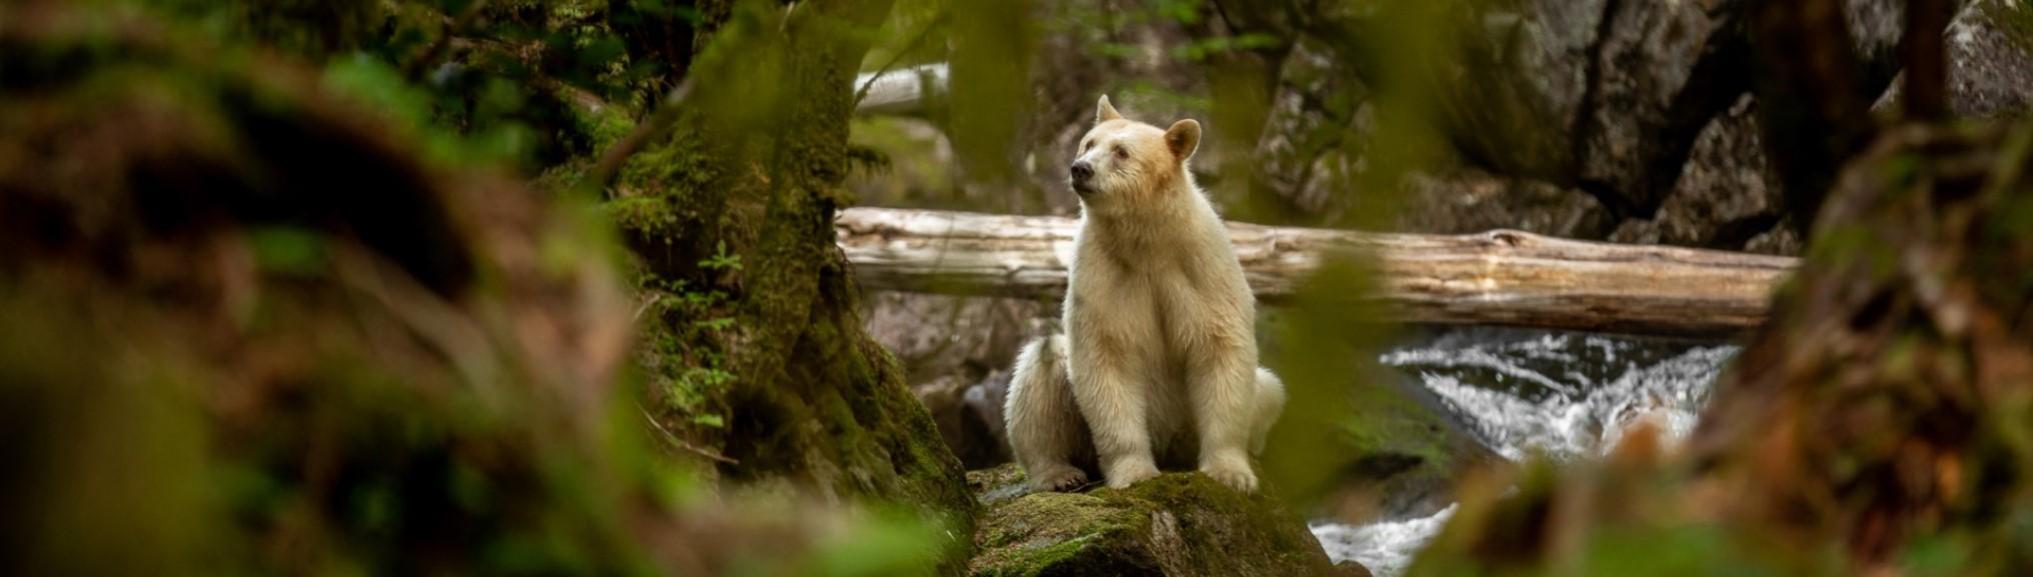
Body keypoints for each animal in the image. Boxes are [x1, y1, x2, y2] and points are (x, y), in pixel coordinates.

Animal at [1004, 96, 1285, 493]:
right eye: (1088, 143)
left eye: (1121, 151)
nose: (1080, 169)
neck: (1148, 242)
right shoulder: (1104, 272)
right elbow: (1106, 355)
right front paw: (1134, 473)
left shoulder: (1201, 267)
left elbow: (1219, 348)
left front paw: (1230, 473)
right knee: (1042, 368)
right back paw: (1059, 473)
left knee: (1270, 389)